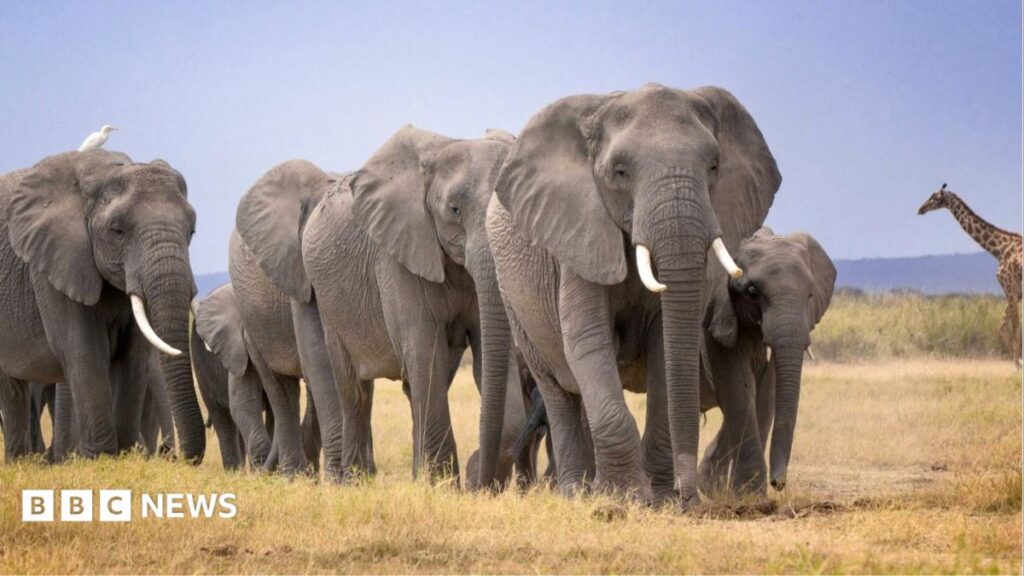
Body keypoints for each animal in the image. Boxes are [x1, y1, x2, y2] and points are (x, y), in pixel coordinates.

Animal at [0, 149, 204, 461]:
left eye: (191, 231)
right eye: (117, 230)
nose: (172, 455)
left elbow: (133, 357)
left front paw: (125, 454)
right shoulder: (54, 264)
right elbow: (83, 350)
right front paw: (101, 457)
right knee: (11, 390)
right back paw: (21, 462)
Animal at [236, 126, 520, 485]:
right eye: (454, 210)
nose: (477, 480)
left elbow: (492, 350)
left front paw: (452, 482)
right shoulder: (395, 256)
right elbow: (423, 351)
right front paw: (441, 485)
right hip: (326, 298)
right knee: (350, 388)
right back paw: (351, 481)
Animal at [487, 83, 781, 506]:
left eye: (713, 167)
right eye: (620, 172)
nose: (689, 498)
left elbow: (665, 346)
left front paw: (658, 501)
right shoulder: (579, 232)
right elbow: (588, 339)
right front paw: (621, 499)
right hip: (514, 299)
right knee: (558, 389)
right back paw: (576, 494)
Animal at [699, 227, 836, 495]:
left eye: (810, 295)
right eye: (752, 293)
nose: (778, 483)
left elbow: (766, 394)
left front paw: (743, 494)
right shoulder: (718, 322)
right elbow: (739, 388)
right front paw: (749, 495)